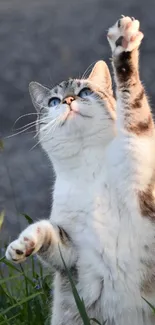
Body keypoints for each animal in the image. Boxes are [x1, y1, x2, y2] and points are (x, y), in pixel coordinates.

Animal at [5, 16, 155, 324]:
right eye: (53, 101)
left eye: (85, 92)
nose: (68, 100)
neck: (89, 168)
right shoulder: (72, 251)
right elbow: (48, 232)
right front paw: (22, 245)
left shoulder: (139, 153)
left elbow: (132, 100)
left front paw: (123, 44)